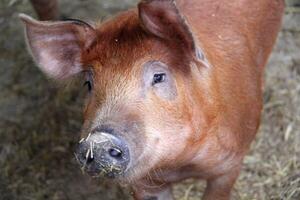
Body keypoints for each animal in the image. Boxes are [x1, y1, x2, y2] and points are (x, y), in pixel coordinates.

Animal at [19, 0, 284, 199]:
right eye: (89, 84)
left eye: (159, 76)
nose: (99, 140)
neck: (178, 164)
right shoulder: (144, 183)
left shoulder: (230, 163)